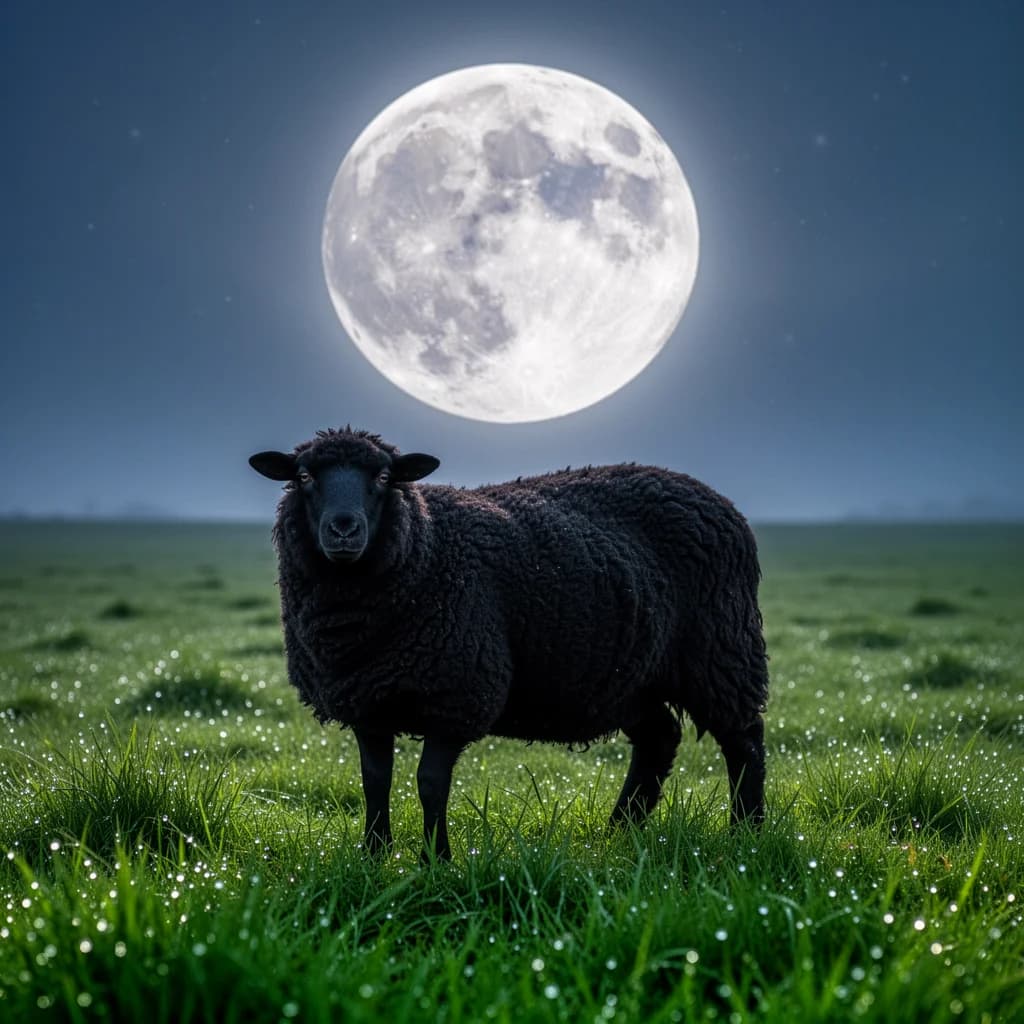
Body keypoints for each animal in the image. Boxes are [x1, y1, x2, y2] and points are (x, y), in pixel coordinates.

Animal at [249, 427, 768, 859]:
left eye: (382, 476)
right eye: (303, 476)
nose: (343, 528)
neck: (426, 545)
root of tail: (719, 502)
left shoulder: (457, 694)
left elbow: (430, 783)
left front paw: (436, 861)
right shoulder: (367, 700)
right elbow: (374, 782)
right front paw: (373, 857)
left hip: (722, 651)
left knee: (744, 743)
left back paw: (747, 834)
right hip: (630, 677)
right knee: (659, 738)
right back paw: (618, 831)